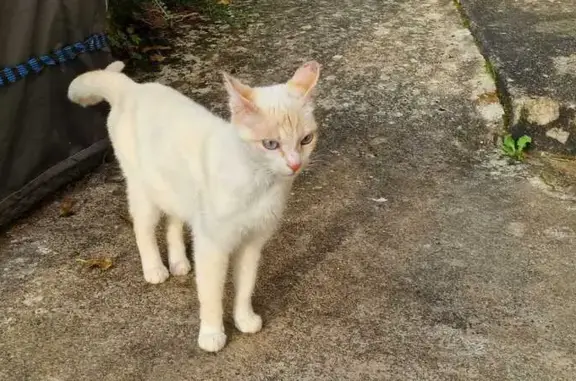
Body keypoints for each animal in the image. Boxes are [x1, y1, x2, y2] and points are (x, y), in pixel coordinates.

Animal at [67, 60, 322, 354]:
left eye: (306, 140)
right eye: (271, 144)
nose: (295, 164)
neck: (259, 183)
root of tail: (133, 88)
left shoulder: (251, 244)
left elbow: (245, 285)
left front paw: (244, 319)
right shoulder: (213, 246)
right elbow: (211, 296)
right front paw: (212, 334)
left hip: (177, 194)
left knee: (173, 224)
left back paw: (178, 261)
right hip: (144, 193)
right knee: (143, 229)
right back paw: (154, 268)